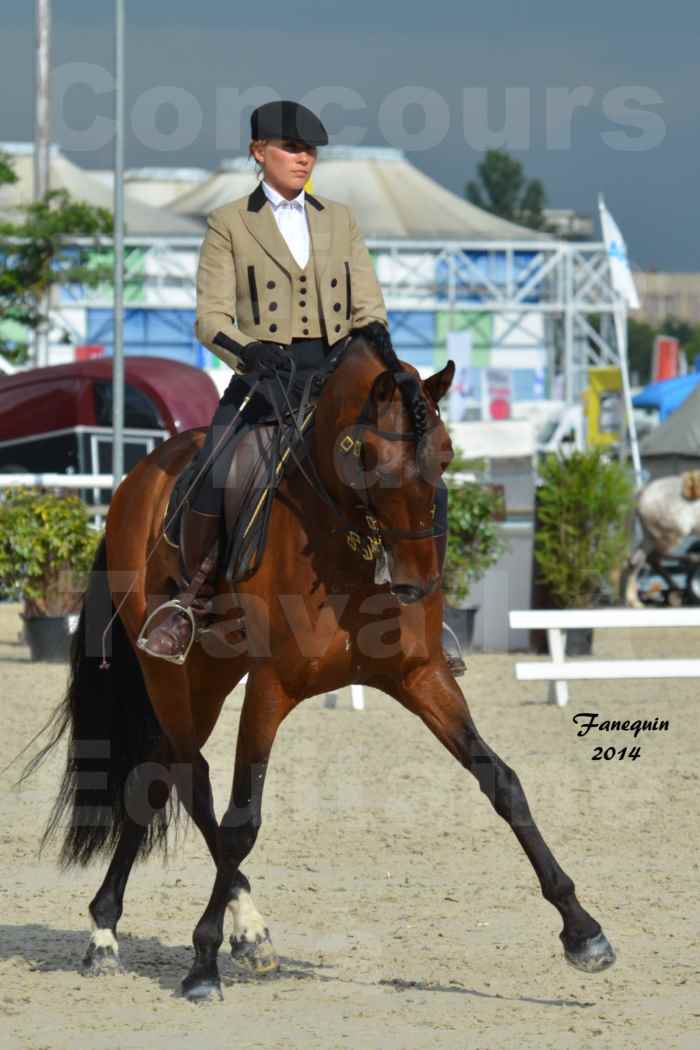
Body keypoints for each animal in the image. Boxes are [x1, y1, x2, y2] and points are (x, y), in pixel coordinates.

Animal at [31, 336, 612, 999]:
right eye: (368, 457)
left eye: (445, 454)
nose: (417, 583)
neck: (348, 551)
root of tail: (138, 477)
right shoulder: (271, 688)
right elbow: (242, 821)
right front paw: (203, 963)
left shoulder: (420, 676)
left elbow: (502, 782)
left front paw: (582, 930)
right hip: (173, 674)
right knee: (184, 776)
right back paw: (156, 931)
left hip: (210, 673)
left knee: (163, 771)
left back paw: (174, 928)